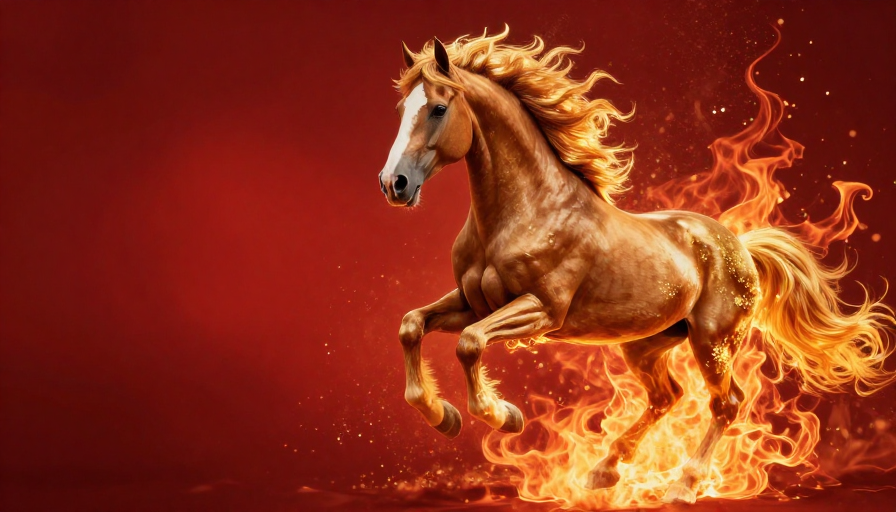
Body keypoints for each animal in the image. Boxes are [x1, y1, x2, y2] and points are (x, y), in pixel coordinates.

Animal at [376, 28, 894, 504]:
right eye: (401, 110)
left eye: (438, 108)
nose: (393, 183)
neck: (525, 212)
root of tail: (741, 246)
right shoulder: (472, 302)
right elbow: (411, 325)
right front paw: (442, 415)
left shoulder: (542, 310)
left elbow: (469, 343)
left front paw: (504, 415)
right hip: (645, 344)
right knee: (667, 397)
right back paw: (602, 472)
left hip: (713, 341)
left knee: (725, 403)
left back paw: (683, 485)